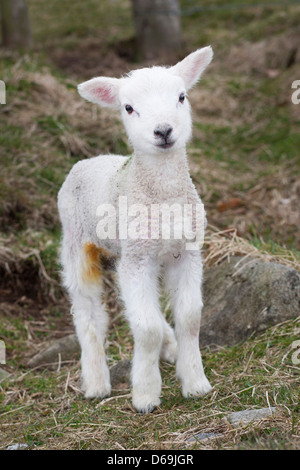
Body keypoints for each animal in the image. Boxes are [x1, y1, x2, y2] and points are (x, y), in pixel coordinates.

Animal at [57, 47, 213, 414]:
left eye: (181, 97)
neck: (164, 198)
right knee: (88, 312)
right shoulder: (137, 260)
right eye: (128, 107)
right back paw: (96, 383)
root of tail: (88, 160)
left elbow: (189, 318)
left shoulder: (187, 251)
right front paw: (145, 394)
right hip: (76, 242)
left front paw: (196, 383)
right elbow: (147, 328)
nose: (164, 131)